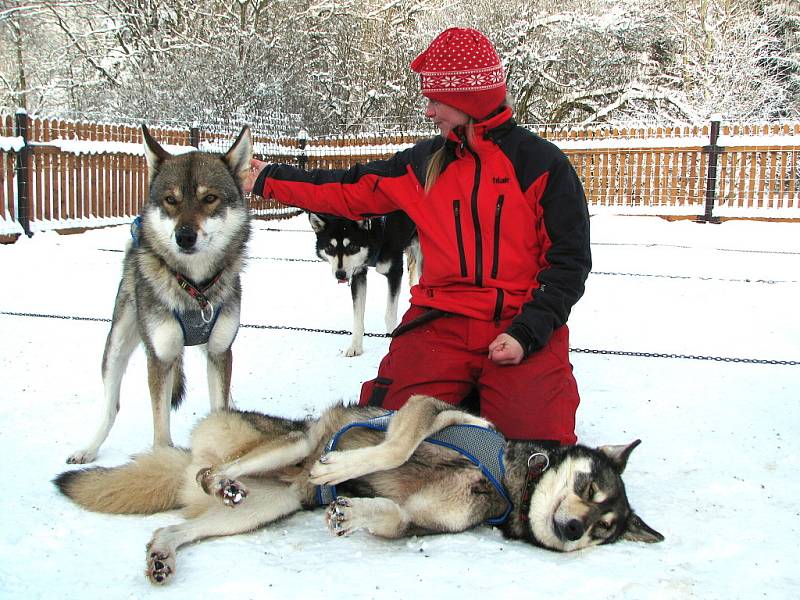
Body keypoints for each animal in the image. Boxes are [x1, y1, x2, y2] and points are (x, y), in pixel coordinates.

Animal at [67, 125, 252, 464]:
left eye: (209, 198)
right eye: (170, 200)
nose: (184, 236)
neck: (194, 288)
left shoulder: (220, 351)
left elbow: (220, 406)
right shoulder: (160, 356)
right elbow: (160, 425)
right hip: (118, 343)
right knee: (111, 405)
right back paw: (89, 447)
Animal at [308, 210, 418, 354]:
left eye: (352, 246)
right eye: (329, 248)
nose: (340, 274)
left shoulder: (394, 272)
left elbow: (389, 315)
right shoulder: (358, 274)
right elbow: (358, 317)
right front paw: (355, 346)